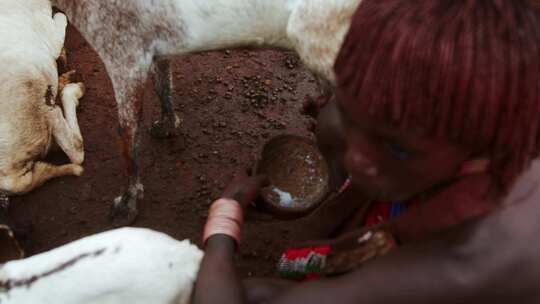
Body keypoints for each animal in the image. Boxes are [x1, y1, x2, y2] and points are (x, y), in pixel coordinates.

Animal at [50, 0, 362, 226]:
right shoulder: (156, 51)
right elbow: (164, 88)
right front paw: (168, 125)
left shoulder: (125, 61)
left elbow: (127, 140)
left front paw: (128, 202)